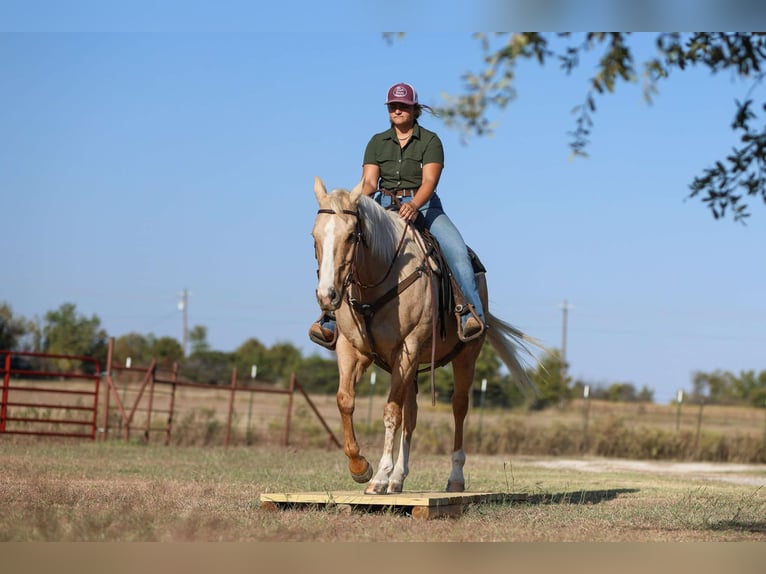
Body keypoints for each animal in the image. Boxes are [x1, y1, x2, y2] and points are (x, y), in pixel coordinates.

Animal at [311, 176, 539, 494]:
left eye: (351, 236)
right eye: (314, 237)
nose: (327, 296)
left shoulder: (407, 347)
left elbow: (391, 411)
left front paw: (379, 477)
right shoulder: (351, 349)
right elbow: (345, 400)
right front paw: (360, 468)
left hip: (465, 356)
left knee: (458, 406)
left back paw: (454, 477)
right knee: (412, 413)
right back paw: (398, 479)